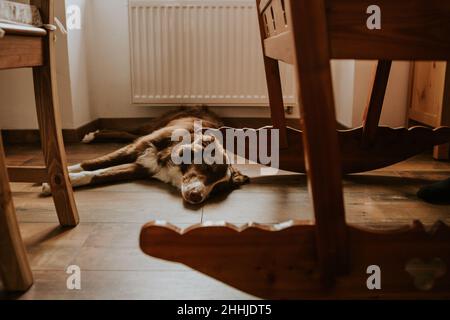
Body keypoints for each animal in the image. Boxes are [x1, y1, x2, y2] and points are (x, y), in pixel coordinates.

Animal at [42, 106, 250, 204]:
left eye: (217, 190)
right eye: (207, 167)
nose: (197, 197)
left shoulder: (141, 168)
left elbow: (98, 174)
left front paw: (59, 182)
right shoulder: (136, 149)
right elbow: (91, 164)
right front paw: (58, 176)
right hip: (153, 127)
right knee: (127, 133)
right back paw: (92, 135)